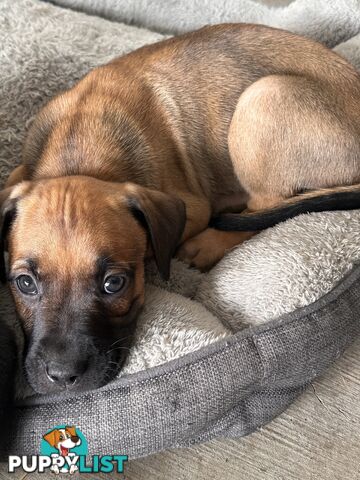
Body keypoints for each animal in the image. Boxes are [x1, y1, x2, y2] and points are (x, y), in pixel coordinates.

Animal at [2, 23, 360, 394]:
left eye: (114, 284)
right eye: (24, 283)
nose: (63, 377)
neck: (80, 153)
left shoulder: (192, 207)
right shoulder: (20, 173)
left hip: (263, 97)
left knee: (263, 207)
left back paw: (208, 243)